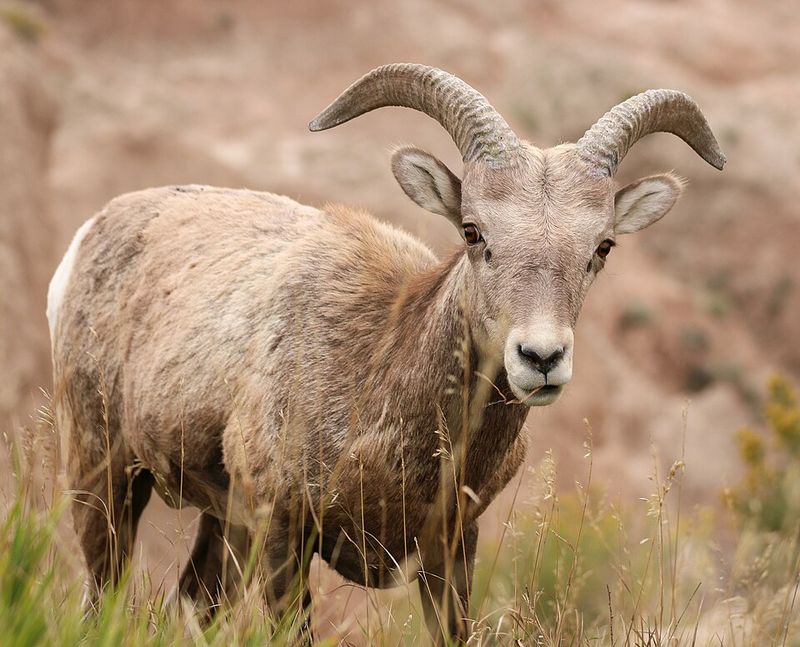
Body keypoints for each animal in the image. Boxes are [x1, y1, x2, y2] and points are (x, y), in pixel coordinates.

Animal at [48, 63, 725, 642]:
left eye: (601, 247)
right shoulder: (283, 534)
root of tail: (91, 233)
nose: (540, 358)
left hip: (220, 523)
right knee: (102, 591)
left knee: (194, 602)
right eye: (473, 231)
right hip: (104, 474)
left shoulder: (452, 550)